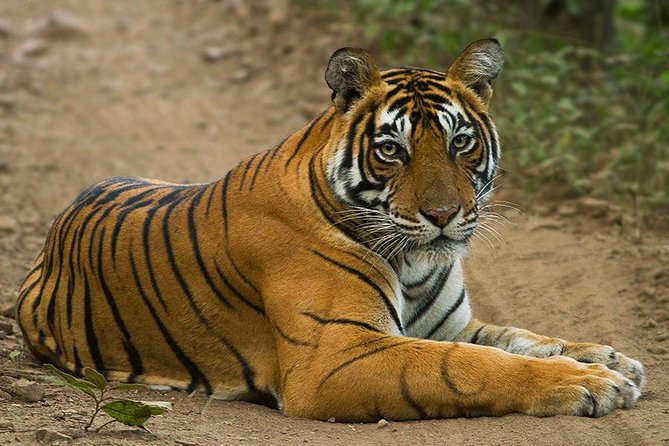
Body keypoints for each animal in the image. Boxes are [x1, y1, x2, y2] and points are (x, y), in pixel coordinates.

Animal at [16, 39, 645, 421]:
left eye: (460, 142)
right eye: (392, 150)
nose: (443, 215)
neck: (415, 266)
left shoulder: (448, 325)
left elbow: (518, 336)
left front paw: (609, 358)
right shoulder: (335, 356)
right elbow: (468, 366)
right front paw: (588, 383)